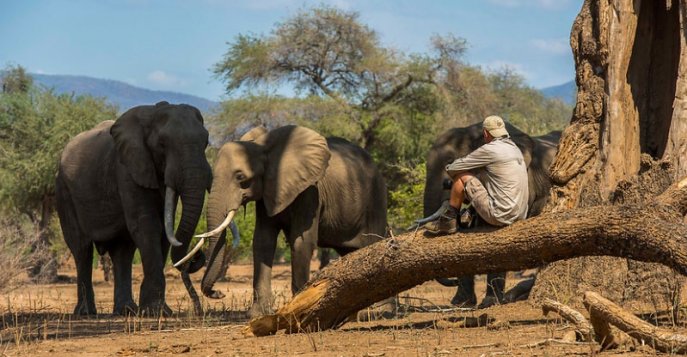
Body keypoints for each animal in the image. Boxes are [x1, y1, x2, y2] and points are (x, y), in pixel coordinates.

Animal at [55, 100, 212, 314]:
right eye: (162, 145)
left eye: (206, 143)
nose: (198, 309)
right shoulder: (127, 168)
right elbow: (147, 225)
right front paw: (155, 312)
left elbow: (164, 231)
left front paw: (157, 311)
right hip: (64, 190)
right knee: (81, 248)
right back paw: (86, 313)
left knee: (123, 252)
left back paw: (126, 310)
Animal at [181, 124, 388, 316]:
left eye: (240, 176)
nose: (219, 293)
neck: (264, 148)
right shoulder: (267, 193)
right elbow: (263, 241)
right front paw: (257, 314)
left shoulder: (310, 191)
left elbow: (301, 241)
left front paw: (299, 308)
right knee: (351, 253)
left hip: (375, 199)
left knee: (375, 242)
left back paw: (379, 311)